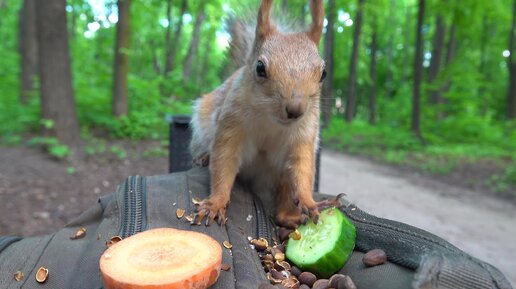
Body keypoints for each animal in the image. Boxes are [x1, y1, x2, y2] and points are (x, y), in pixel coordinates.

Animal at [189, 0, 326, 228]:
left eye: (324, 73)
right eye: (260, 67)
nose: (295, 109)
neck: (271, 121)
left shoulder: (305, 135)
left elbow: (303, 168)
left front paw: (309, 201)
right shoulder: (231, 123)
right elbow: (223, 163)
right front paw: (215, 204)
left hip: (282, 176)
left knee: (285, 197)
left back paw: (290, 218)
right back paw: (203, 157)